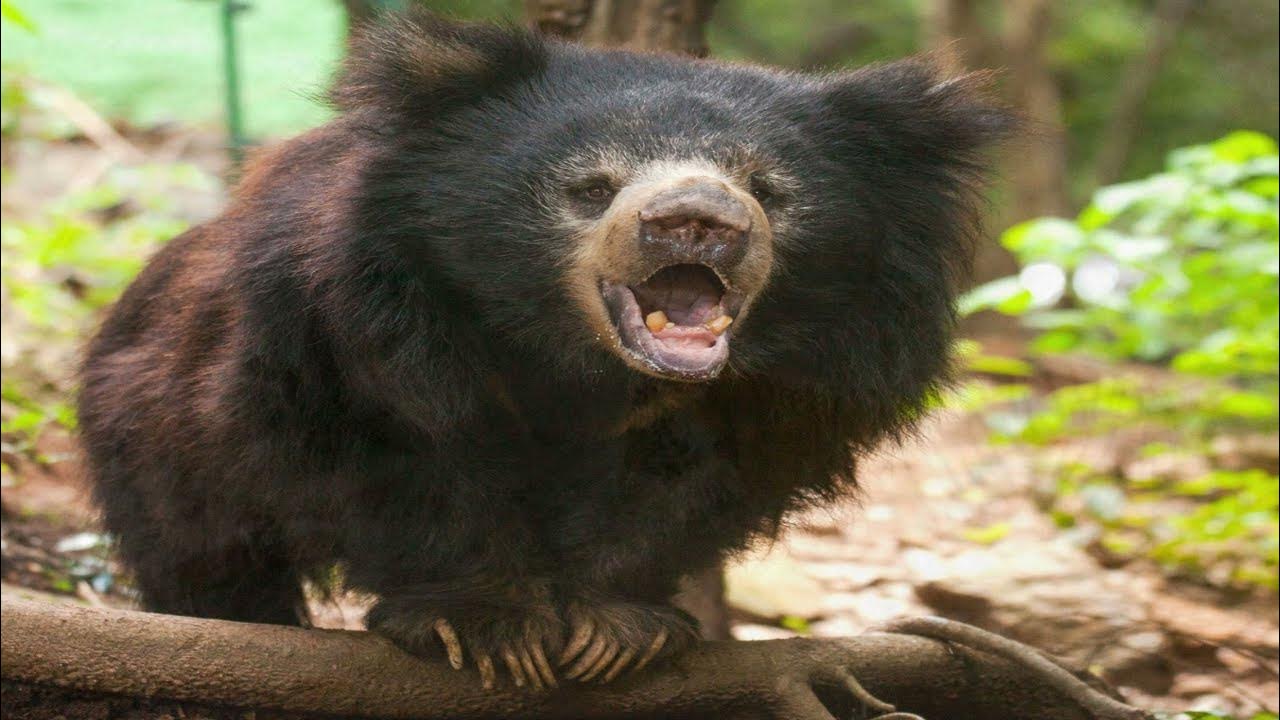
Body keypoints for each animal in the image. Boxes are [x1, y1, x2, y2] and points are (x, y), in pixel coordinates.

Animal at [78, 11, 1011, 690]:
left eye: (770, 190)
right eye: (590, 188)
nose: (696, 219)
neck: (591, 367)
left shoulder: (810, 377)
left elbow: (695, 482)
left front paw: (617, 628)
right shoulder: (352, 323)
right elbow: (398, 457)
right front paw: (486, 625)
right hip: (153, 431)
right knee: (206, 560)